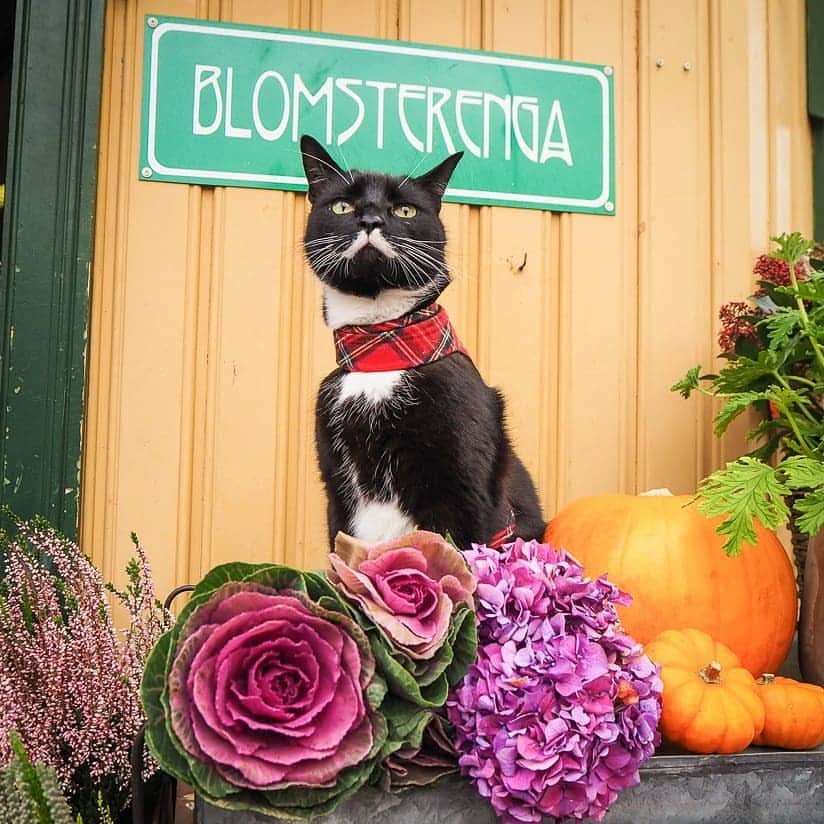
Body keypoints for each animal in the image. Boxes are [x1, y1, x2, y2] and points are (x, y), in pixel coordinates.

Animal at [300, 135, 544, 552]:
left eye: (405, 210)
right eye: (342, 205)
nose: (371, 220)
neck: (381, 349)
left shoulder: (462, 487)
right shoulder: (335, 486)